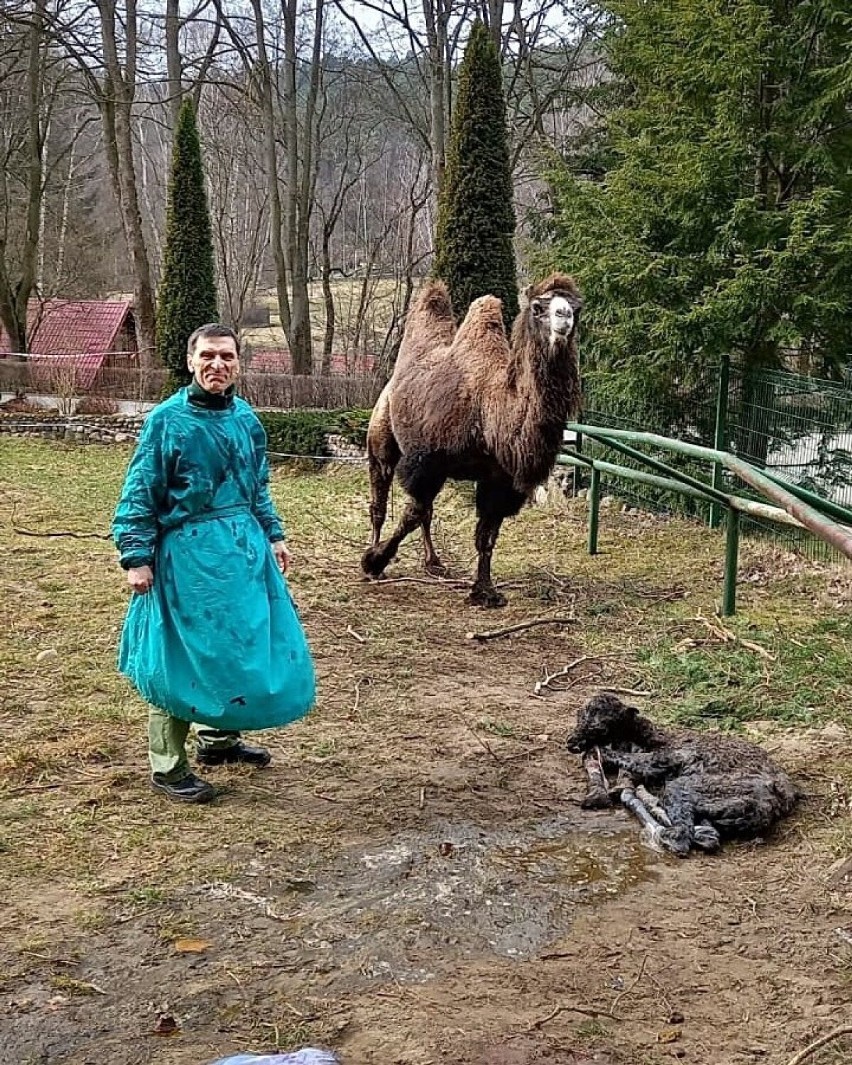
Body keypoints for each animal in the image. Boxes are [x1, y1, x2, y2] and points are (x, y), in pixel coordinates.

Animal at [355, 272, 583, 609]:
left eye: (577, 308)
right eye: (538, 307)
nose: (564, 317)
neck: (489, 415)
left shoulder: (501, 481)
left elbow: (486, 536)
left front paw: (485, 590)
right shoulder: (428, 462)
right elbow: (412, 514)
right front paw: (374, 560)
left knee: (425, 511)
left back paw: (433, 562)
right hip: (382, 434)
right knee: (380, 501)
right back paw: (375, 554)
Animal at [566, 690, 800, 856]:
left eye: (601, 726)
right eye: (579, 715)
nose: (571, 742)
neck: (656, 738)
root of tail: (774, 804)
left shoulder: (659, 761)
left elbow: (624, 758)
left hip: (689, 787)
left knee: (683, 836)